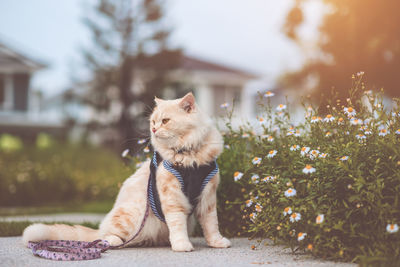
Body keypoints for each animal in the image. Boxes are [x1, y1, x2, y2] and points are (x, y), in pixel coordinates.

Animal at [23, 93, 231, 252]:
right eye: (153, 121)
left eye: (165, 121)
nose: (154, 129)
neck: (188, 156)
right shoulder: (172, 198)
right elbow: (177, 224)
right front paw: (182, 245)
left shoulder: (208, 196)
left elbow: (212, 224)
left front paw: (216, 242)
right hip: (131, 216)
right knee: (106, 237)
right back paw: (113, 241)